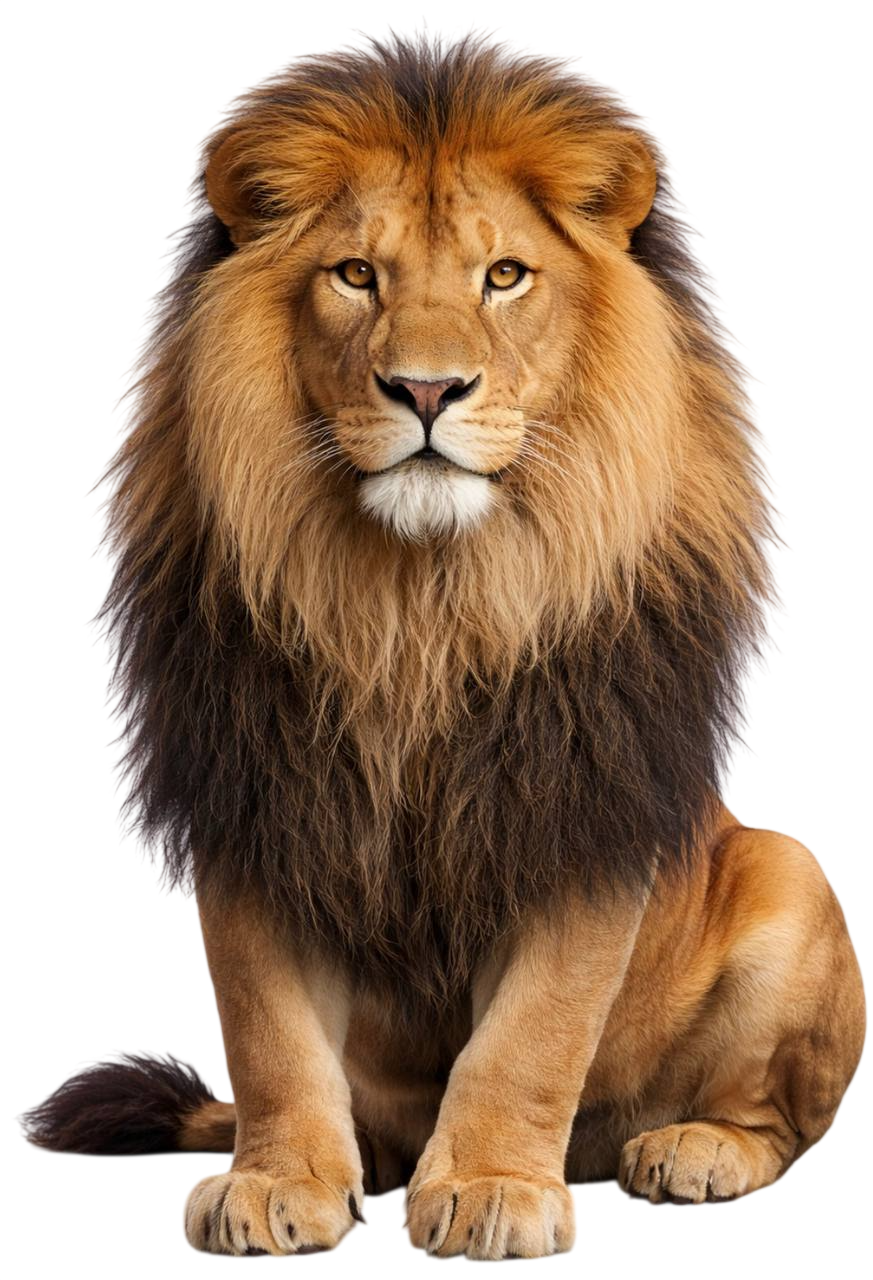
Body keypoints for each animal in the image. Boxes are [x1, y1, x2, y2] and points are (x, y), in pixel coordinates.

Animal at [16, 22, 866, 1262]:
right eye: (355, 275)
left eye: (503, 275)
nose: (426, 388)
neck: (418, 606)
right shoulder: (259, 796)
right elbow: (269, 1030)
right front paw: (278, 1180)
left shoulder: (580, 802)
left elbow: (534, 1030)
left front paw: (496, 1184)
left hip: (790, 868)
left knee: (775, 1116)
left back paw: (692, 1148)